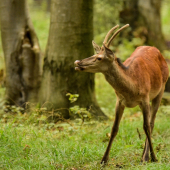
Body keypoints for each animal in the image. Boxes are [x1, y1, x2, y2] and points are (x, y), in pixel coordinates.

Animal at [74, 23, 169, 163]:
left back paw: (145, 156)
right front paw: (104, 160)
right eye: (94, 54)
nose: (77, 62)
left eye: (99, 58)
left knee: (151, 123)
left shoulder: (145, 98)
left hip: (161, 89)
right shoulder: (119, 100)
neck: (132, 88)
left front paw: (153, 157)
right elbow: (114, 128)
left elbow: (146, 126)